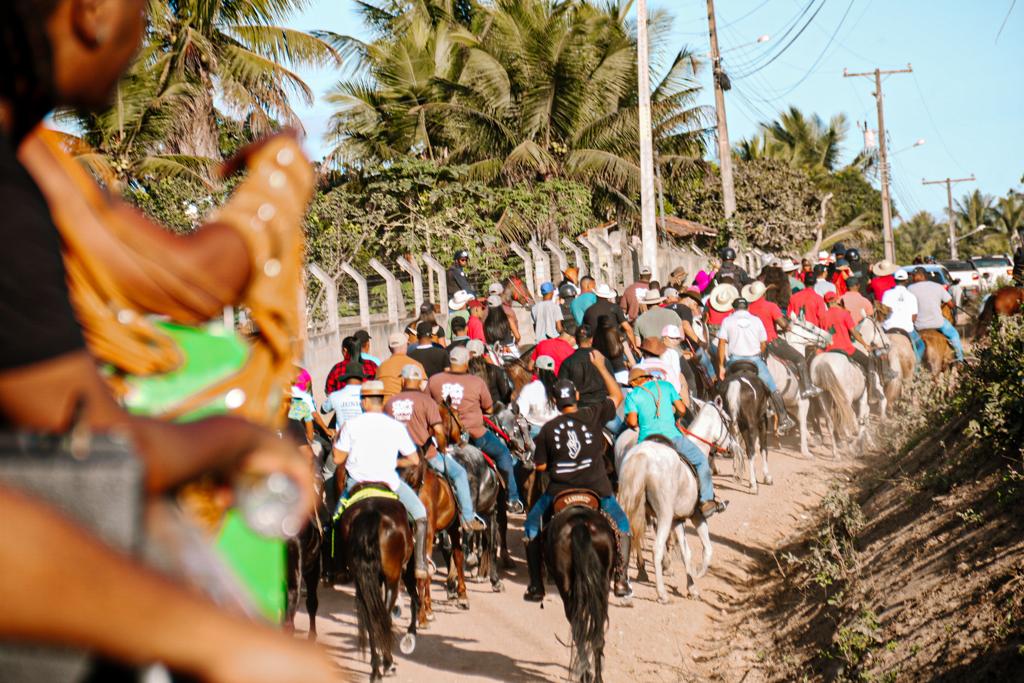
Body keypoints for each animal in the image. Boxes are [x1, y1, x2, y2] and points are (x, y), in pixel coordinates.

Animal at [333, 491, 417, 679]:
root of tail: (370, 513)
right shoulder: (404, 571)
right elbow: (414, 598)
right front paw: (411, 634)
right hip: (392, 577)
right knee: (384, 616)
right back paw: (387, 663)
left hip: (362, 579)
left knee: (370, 618)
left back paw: (376, 668)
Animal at [544, 491, 614, 683]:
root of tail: (580, 524)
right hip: (602, 587)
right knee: (597, 636)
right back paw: (596, 677)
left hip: (566, 588)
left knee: (578, 631)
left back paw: (586, 674)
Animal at [610, 401, 741, 602]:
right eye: (726, 420)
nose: (732, 447)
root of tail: (642, 457)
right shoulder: (697, 516)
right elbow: (707, 549)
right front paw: (699, 573)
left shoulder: (677, 520)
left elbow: (686, 553)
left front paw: (692, 587)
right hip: (663, 514)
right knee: (656, 548)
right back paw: (662, 593)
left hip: (630, 504)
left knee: (630, 536)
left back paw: (634, 576)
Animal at [720, 360, 770, 493]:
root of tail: (736, 385)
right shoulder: (762, 420)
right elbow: (763, 448)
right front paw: (767, 477)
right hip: (751, 425)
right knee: (751, 450)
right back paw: (753, 485)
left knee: (737, 448)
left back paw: (738, 475)